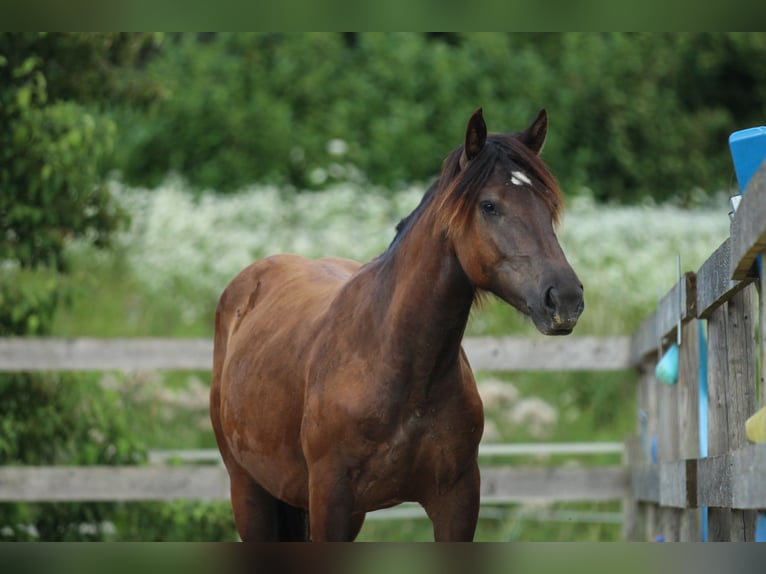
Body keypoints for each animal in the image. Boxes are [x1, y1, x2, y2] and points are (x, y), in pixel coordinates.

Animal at [208, 108, 584, 544]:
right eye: (489, 206)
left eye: (547, 205)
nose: (565, 299)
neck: (402, 368)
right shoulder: (330, 500)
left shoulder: (456, 501)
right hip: (248, 491)